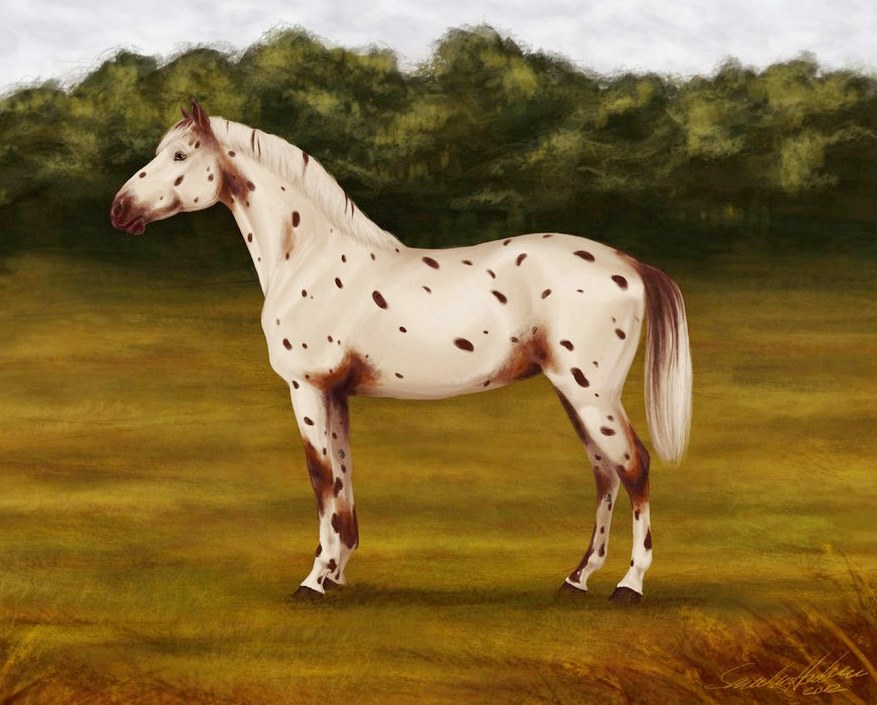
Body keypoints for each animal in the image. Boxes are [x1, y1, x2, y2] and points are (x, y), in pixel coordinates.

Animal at [111, 100, 692, 603]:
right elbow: (342, 477)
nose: (119, 210)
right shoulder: (336, 394)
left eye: (179, 156)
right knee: (605, 472)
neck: (310, 257)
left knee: (633, 465)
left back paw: (630, 585)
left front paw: (313, 581)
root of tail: (628, 263)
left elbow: (319, 477)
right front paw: (337, 571)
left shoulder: (307, 388)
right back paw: (577, 578)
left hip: (590, 391)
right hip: (574, 393)